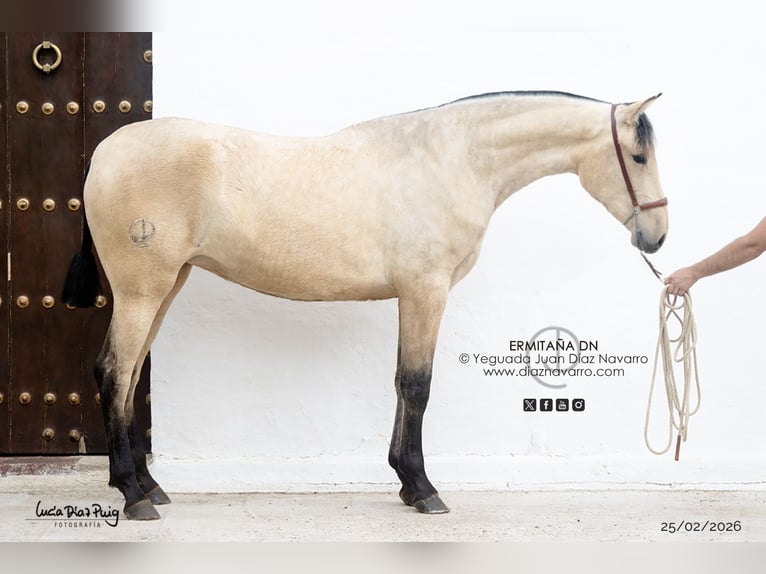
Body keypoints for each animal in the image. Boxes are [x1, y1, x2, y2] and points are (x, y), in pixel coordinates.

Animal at [62, 91, 668, 520]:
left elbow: (402, 382)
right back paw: (134, 497)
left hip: (167, 286)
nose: (657, 237)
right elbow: (418, 385)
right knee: (114, 373)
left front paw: (404, 481)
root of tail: (104, 152)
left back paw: (148, 486)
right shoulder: (427, 290)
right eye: (638, 156)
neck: (453, 160)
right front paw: (423, 488)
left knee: (129, 376)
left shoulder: (413, 295)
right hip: (143, 290)